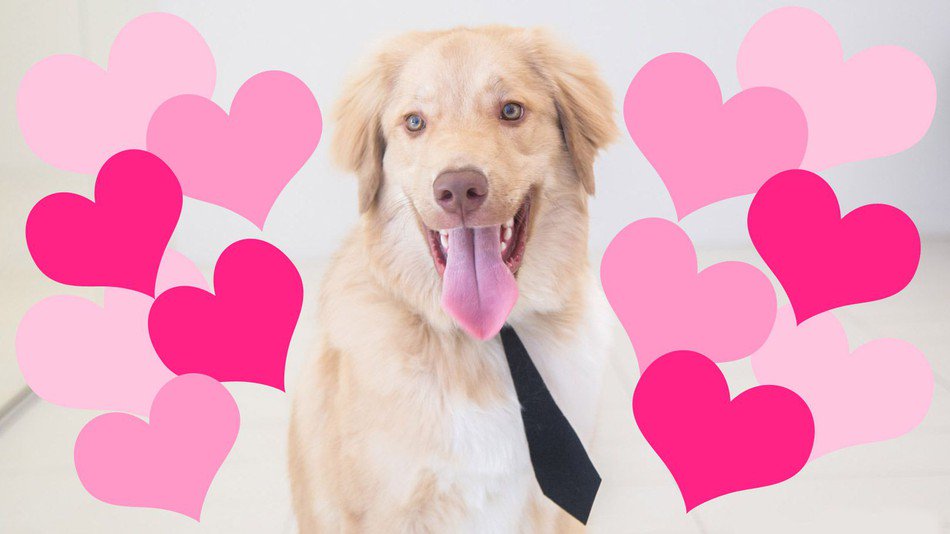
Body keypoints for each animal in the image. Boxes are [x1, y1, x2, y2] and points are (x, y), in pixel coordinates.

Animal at [289, 26, 617, 532]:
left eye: (510, 110)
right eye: (415, 122)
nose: (459, 189)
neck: (482, 339)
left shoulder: (548, 511)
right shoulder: (388, 510)